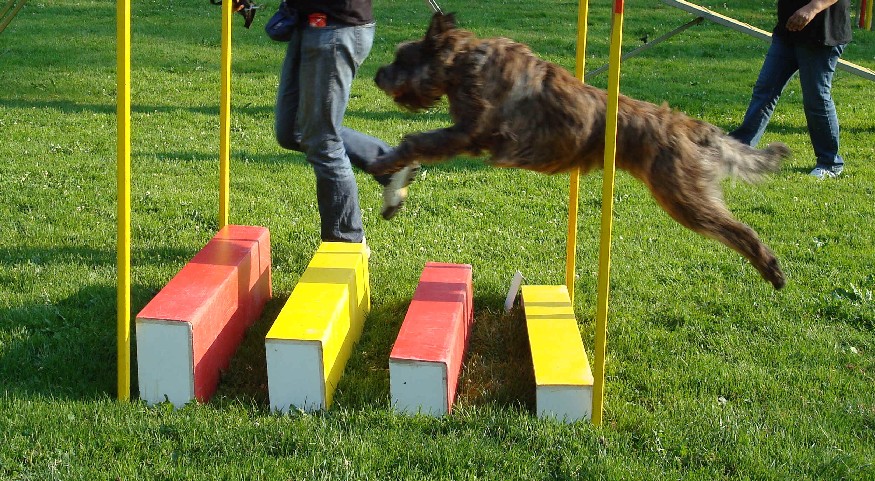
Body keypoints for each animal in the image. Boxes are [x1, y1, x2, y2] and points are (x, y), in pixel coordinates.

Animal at [372, 12, 792, 288]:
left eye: (401, 58)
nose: (376, 74)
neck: (463, 63)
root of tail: (690, 126)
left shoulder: (470, 133)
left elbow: (415, 140)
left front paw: (388, 163)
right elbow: (418, 146)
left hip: (681, 197)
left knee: (737, 230)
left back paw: (771, 269)